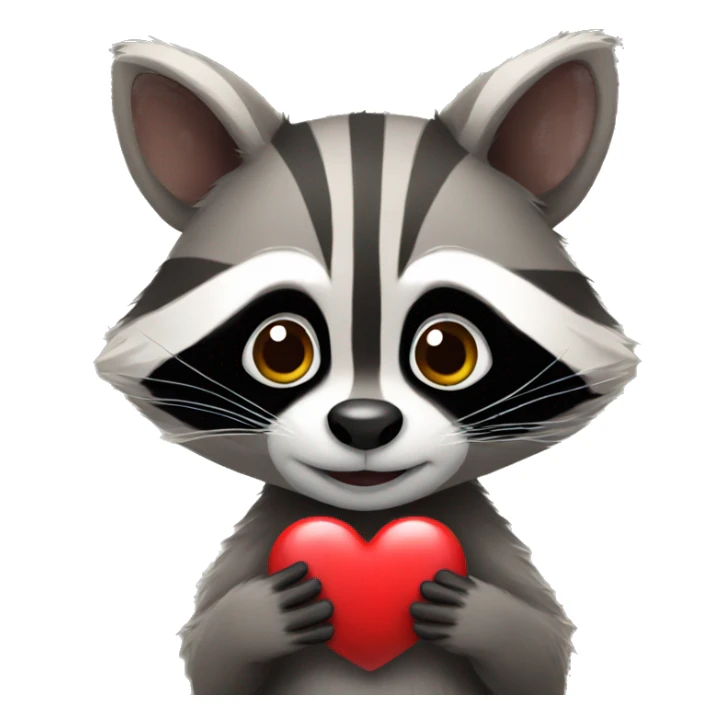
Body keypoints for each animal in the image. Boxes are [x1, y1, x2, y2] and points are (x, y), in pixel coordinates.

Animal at [96, 32, 638, 694]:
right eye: (281, 349)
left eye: (447, 351)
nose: (364, 424)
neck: (369, 518)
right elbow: (212, 664)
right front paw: (258, 613)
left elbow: (539, 659)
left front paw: (479, 612)